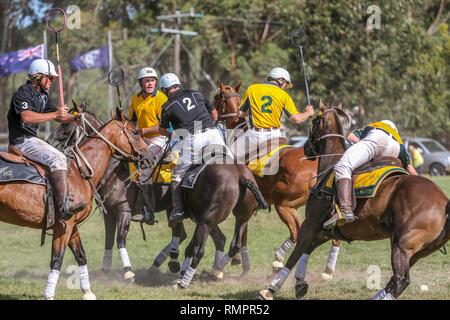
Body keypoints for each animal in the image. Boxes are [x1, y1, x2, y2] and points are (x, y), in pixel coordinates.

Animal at [0, 108, 148, 300]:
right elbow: (57, 260)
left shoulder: (73, 226)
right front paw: (49, 295)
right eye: (135, 132)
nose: (148, 156)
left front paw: (88, 292)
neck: (78, 173)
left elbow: (81, 256)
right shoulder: (64, 226)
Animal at [214, 81, 342, 274]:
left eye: (216, 98)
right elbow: (243, 234)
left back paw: (278, 260)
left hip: (283, 204)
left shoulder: (246, 204)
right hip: (305, 207)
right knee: (323, 235)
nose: (212, 113)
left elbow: (241, 235)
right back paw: (326, 271)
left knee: (297, 232)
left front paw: (231, 262)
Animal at [256, 103, 450, 300]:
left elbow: (295, 254)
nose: (305, 149)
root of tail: (444, 203)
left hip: (401, 245)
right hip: (419, 251)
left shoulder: (310, 224)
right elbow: (307, 250)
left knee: (400, 280)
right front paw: (300, 283)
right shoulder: (328, 230)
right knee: (395, 281)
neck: (331, 162)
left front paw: (270, 288)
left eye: (314, 121)